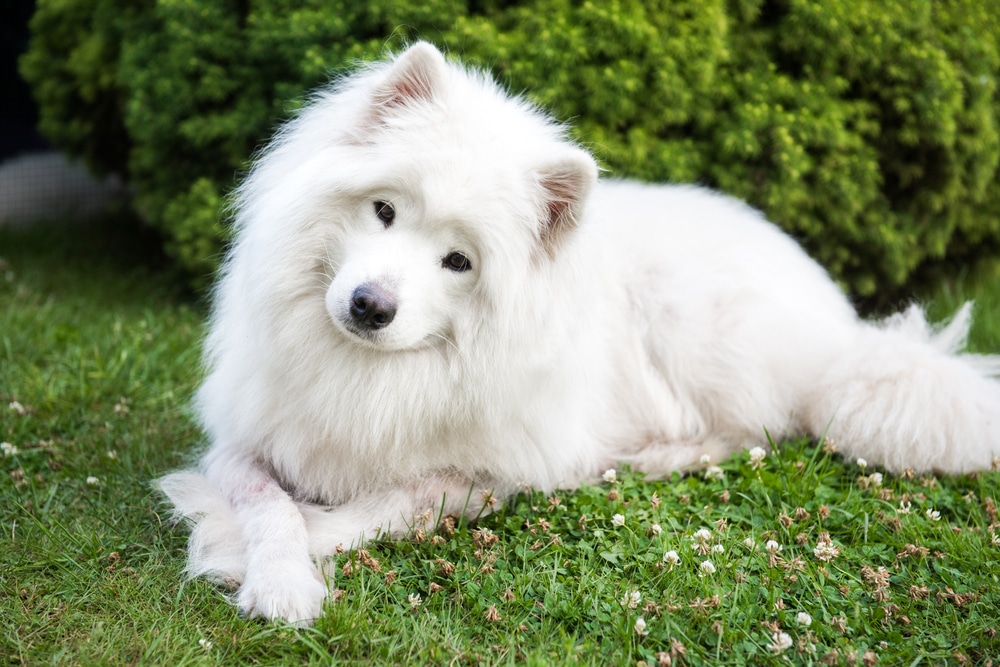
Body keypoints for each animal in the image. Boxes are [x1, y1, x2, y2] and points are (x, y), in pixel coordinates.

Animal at [158, 41, 1000, 628]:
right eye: (385, 210)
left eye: (458, 261)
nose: (370, 305)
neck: (376, 373)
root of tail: (842, 322)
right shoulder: (244, 436)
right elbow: (267, 503)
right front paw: (275, 572)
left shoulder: (491, 473)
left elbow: (384, 506)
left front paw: (252, 547)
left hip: (693, 326)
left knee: (754, 431)